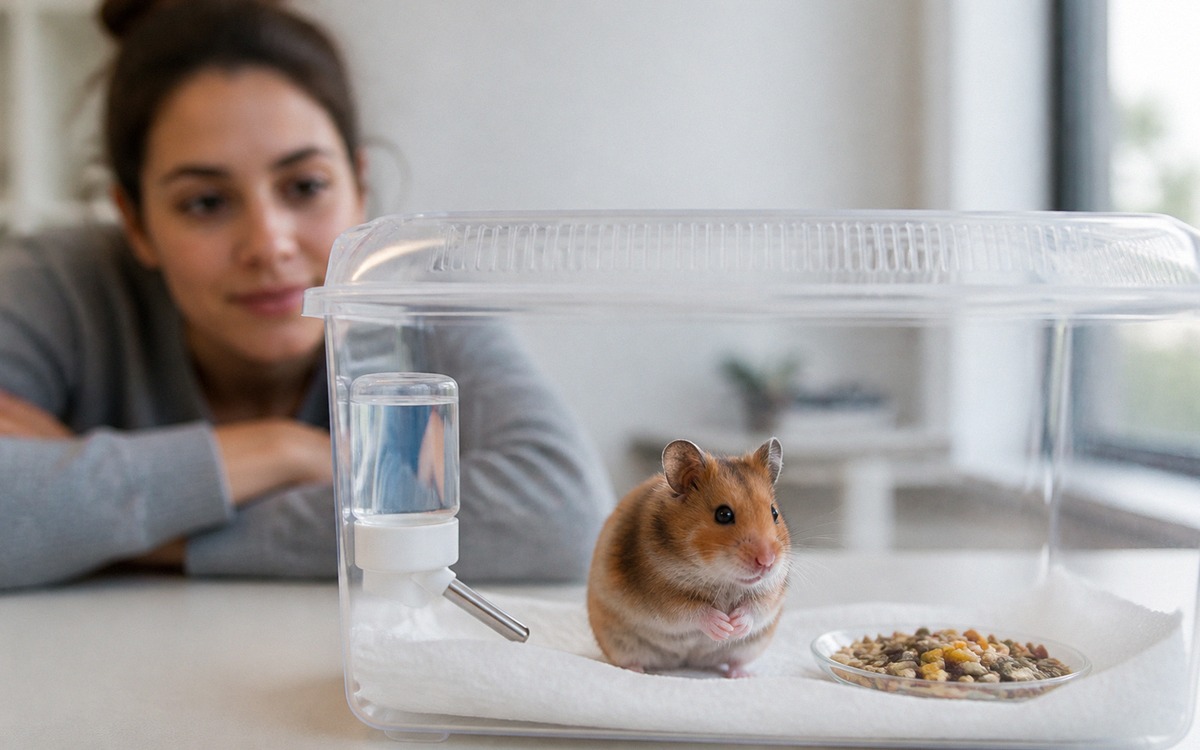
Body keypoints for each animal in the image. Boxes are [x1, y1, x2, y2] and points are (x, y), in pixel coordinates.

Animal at [586, 437, 790, 678]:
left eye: (774, 513)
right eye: (723, 514)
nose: (767, 562)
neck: (720, 578)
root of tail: (684, 661)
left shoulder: (771, 593)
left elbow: (755, 609)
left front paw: (735, 626)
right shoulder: (661, 596)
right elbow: (693, 611)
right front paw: (723, 626)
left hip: (749, 648)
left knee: (735, 661)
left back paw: (742, 675)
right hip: (620, 642)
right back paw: (637, 670)